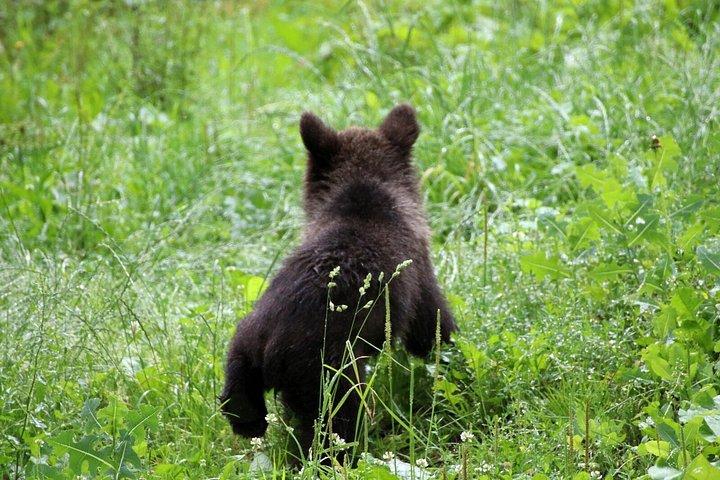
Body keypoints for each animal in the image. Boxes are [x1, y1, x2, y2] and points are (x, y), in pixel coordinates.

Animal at [219, 104, 457, 463]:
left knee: (242, 409)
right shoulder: (421, 279)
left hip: (241, 355)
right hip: (332, 380)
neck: (362, 189)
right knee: (330, 435)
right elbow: (434, 326)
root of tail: (270, 347)